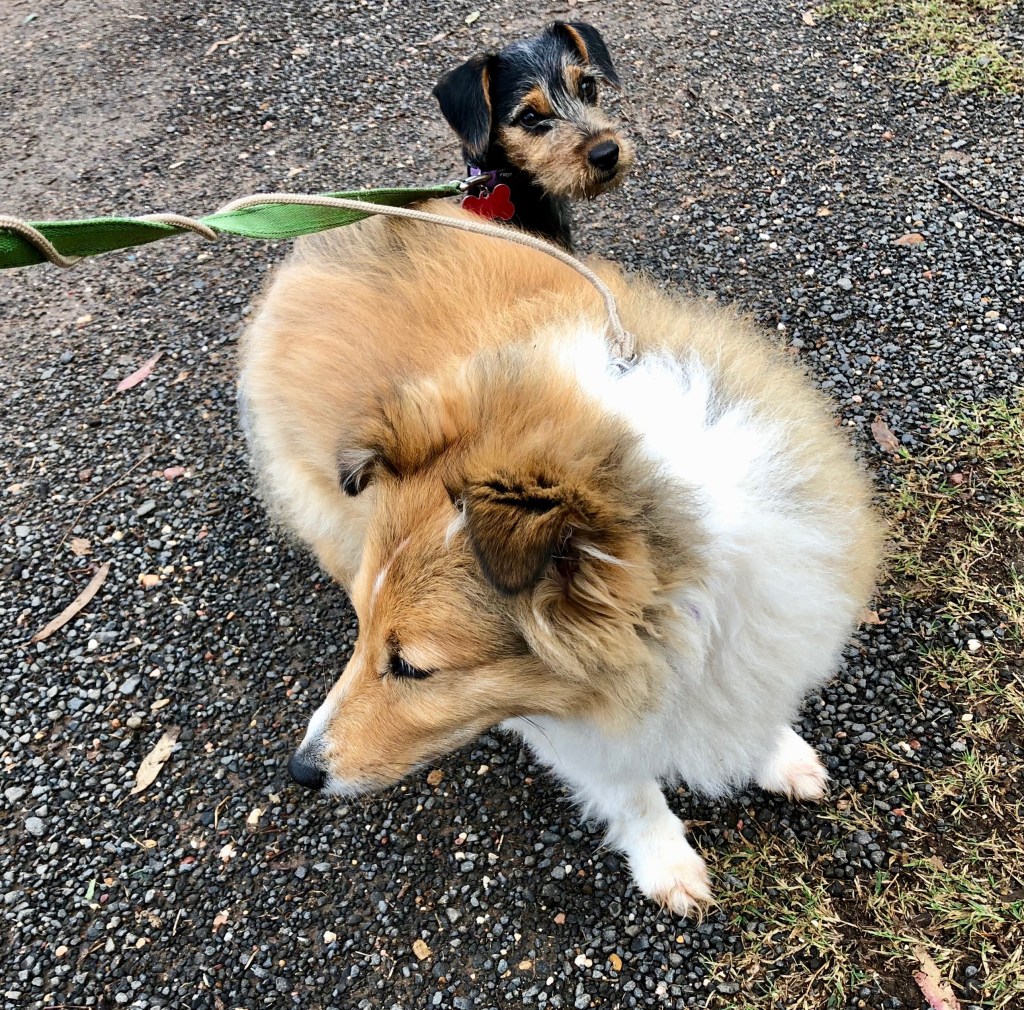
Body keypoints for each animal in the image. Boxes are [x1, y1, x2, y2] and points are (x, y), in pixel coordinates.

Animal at [238, 203, 882, 916]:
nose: (300, 771)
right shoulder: (573, 718)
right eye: (369, 639)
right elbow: (631, 791)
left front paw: (776, 755)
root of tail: (317, 241)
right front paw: (667, 863)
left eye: (412, 667)